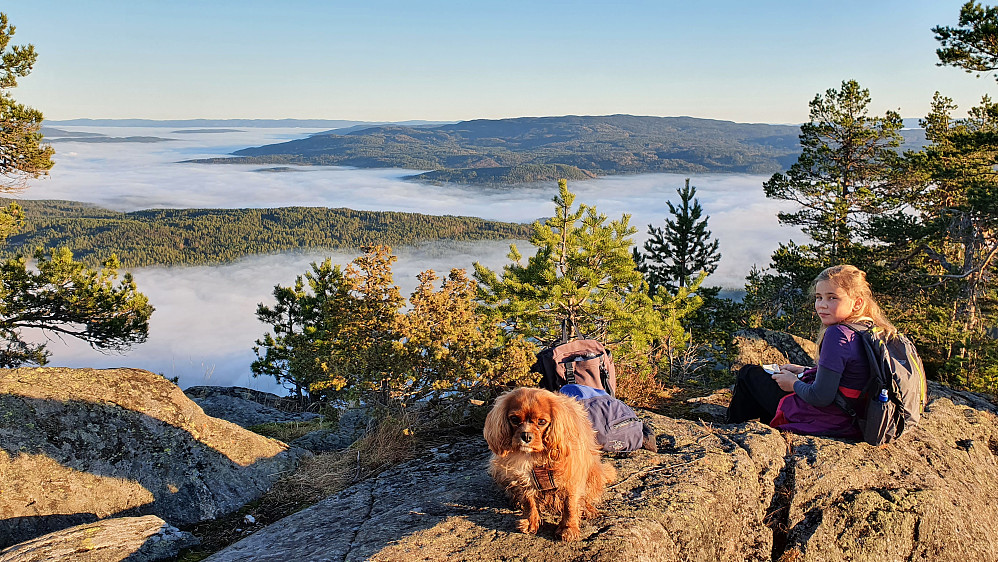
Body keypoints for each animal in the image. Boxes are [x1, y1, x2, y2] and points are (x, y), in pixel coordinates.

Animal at [484, 384, 616, 540]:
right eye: (514, 419)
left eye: (541, 422)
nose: (526, 436)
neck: (536, 456)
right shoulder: (523, 478)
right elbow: (529, 502)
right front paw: (531, 522)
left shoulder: (571, 478)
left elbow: (570, 505)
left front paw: (568, 529)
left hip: (593, 474)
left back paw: (588, 509)